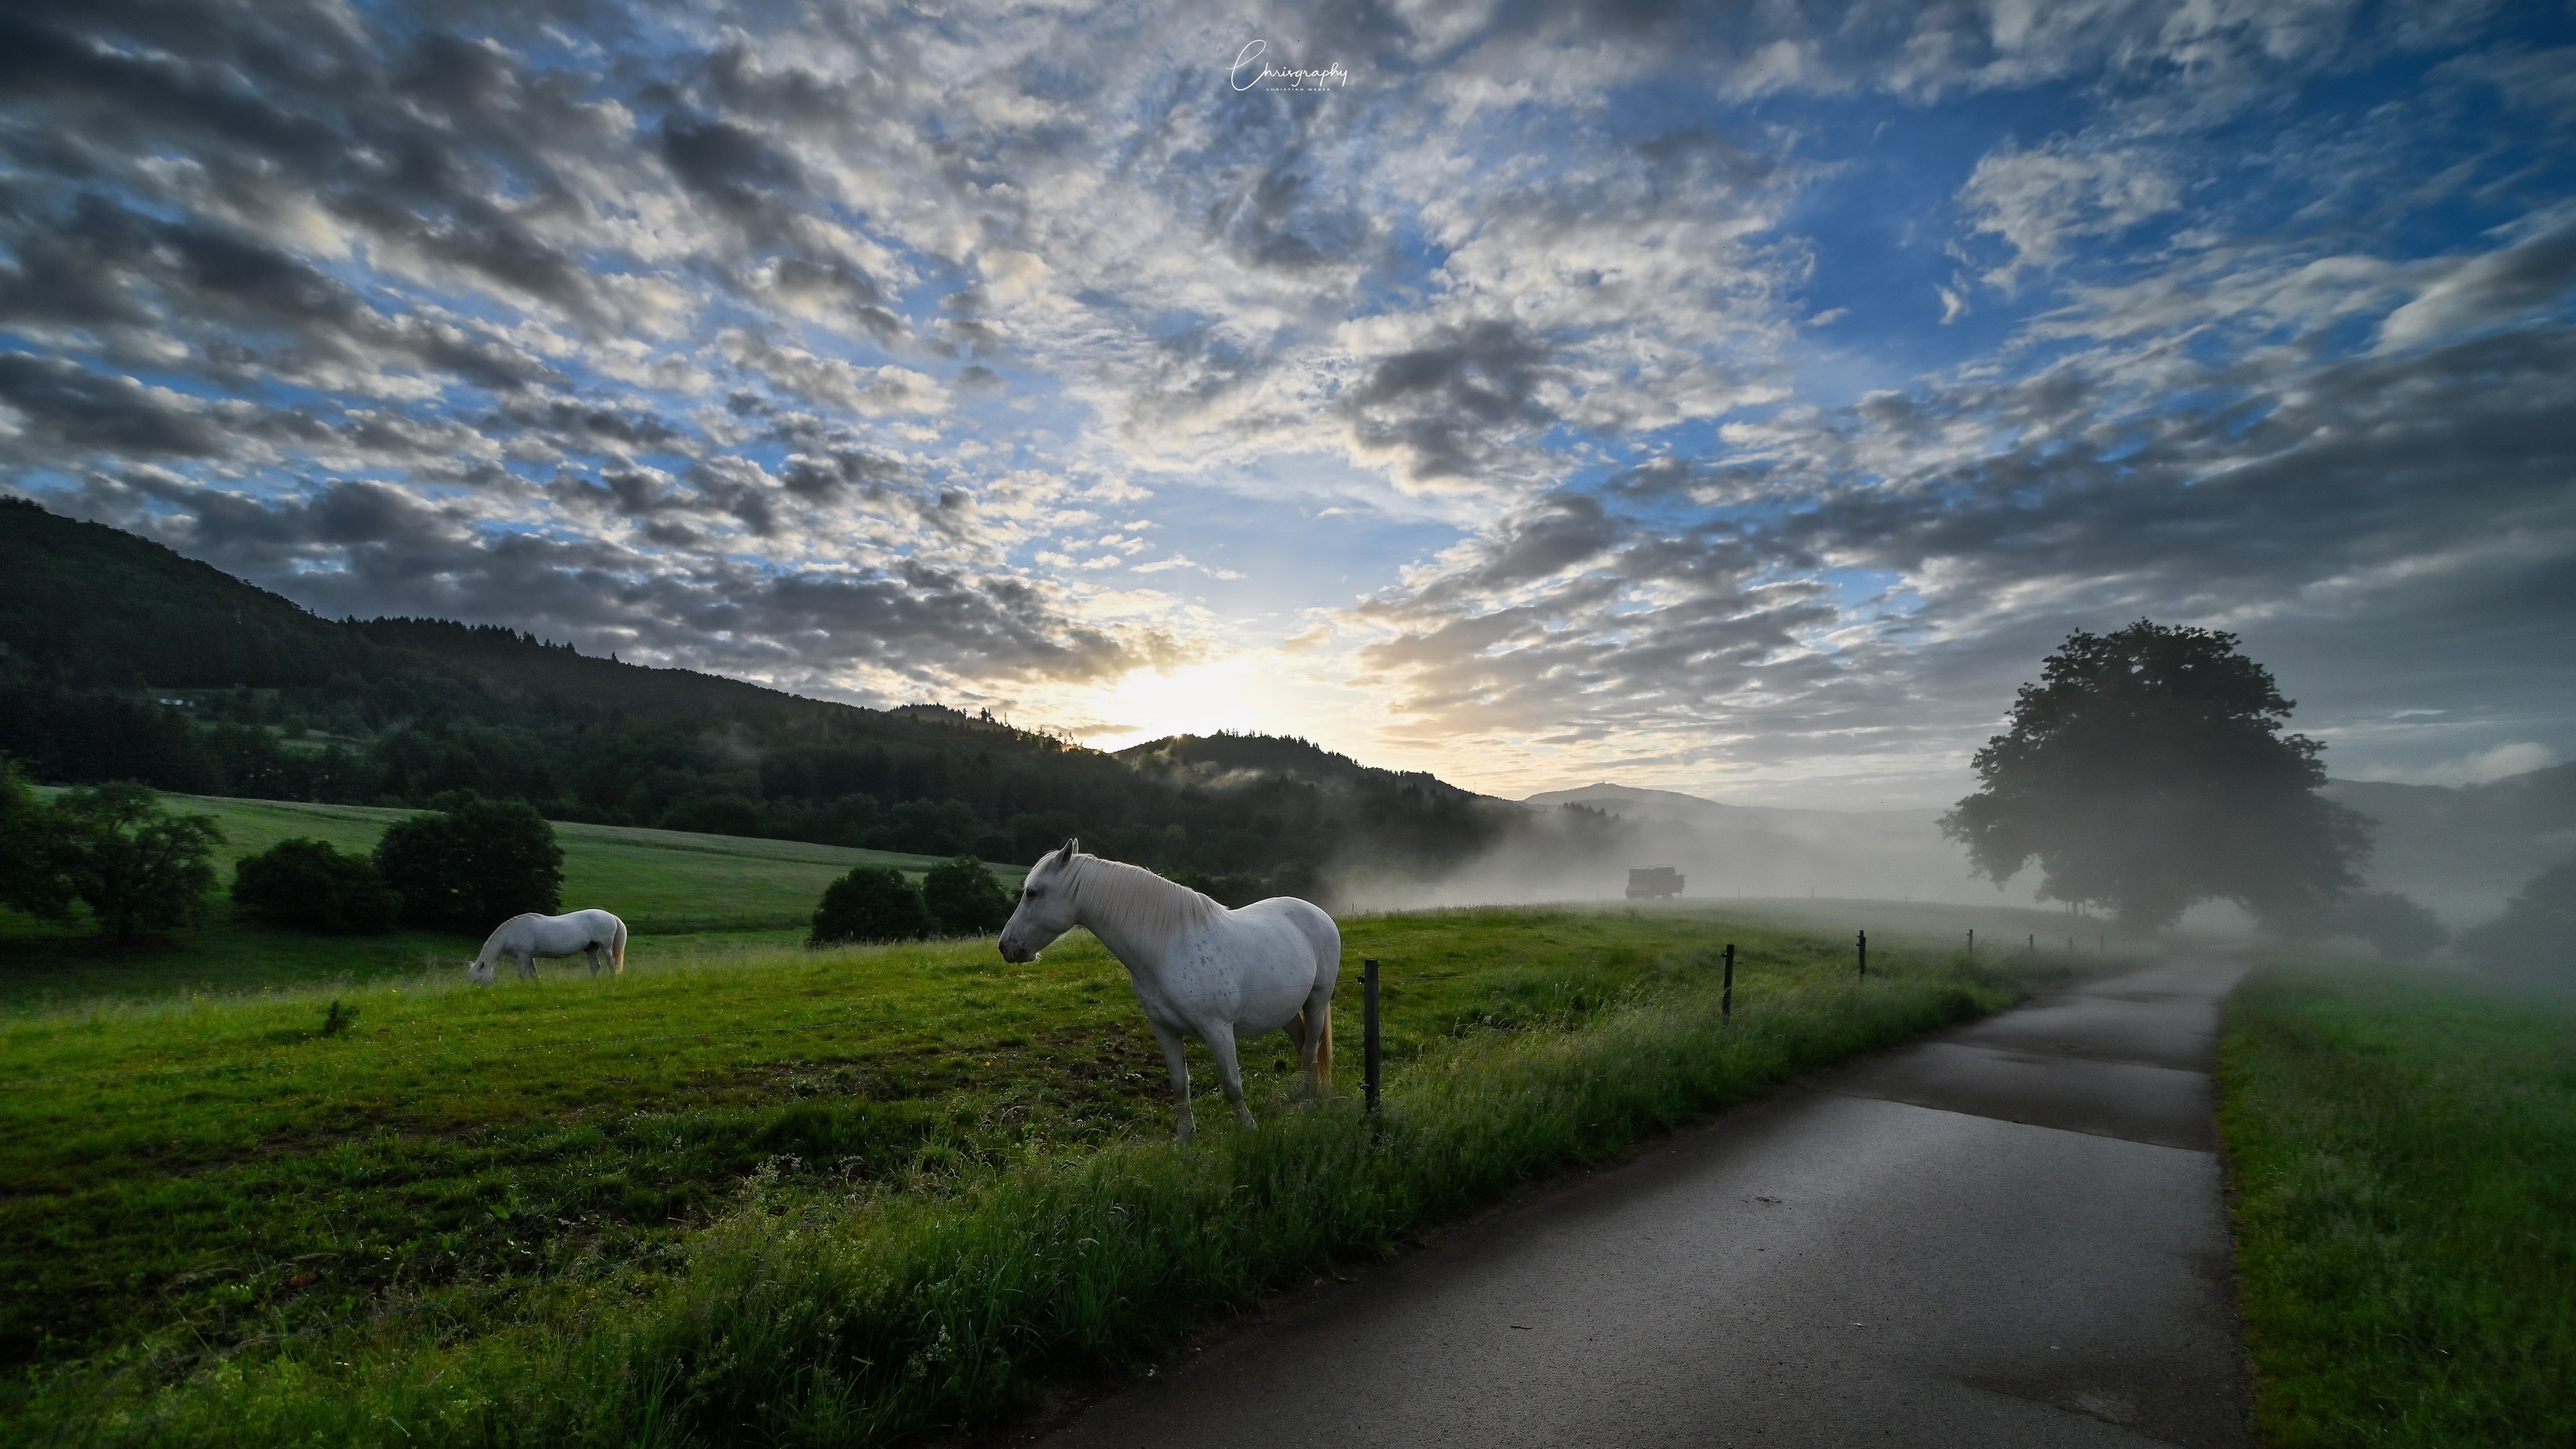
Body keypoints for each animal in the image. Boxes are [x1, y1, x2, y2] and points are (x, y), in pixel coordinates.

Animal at [467, 909, 628, 984]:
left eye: (477, 980)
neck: (511, 934)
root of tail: (611, 916)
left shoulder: (523, 955)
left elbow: (523, 974)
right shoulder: (529, 956)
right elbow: (533, 973)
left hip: (605, 945)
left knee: (611, 962)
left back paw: (613, 979)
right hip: (591, 948)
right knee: (595, 965)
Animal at [998, 839, 1339, 1140]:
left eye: (1032, 893)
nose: (1005, 947)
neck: (1167, 948)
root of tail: (1318, 913)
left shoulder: (1218, 1030)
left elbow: (1232, 1084)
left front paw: (1249, 1129)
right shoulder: (1164, 1030)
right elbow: (1179, 1085)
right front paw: (1185, 1138)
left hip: (1316, 1001)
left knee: (1310, 1052)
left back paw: (1308, 1104)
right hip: (1285, 1011)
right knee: (1303, 1046)